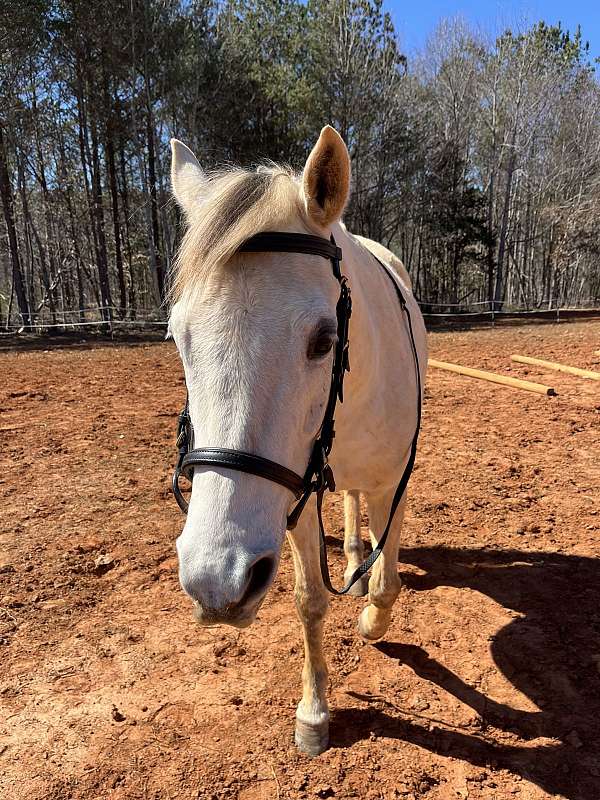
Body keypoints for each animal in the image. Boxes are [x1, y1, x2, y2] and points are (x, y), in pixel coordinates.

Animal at [169, 126, 426, 756]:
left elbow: (388, 585)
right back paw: (353, 554)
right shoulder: (295, 495)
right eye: (177, 336)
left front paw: (372, 622)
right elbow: (310, 600)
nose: (214, 580)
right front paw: (313, 715)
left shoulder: (393, 485)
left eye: (324, 340)